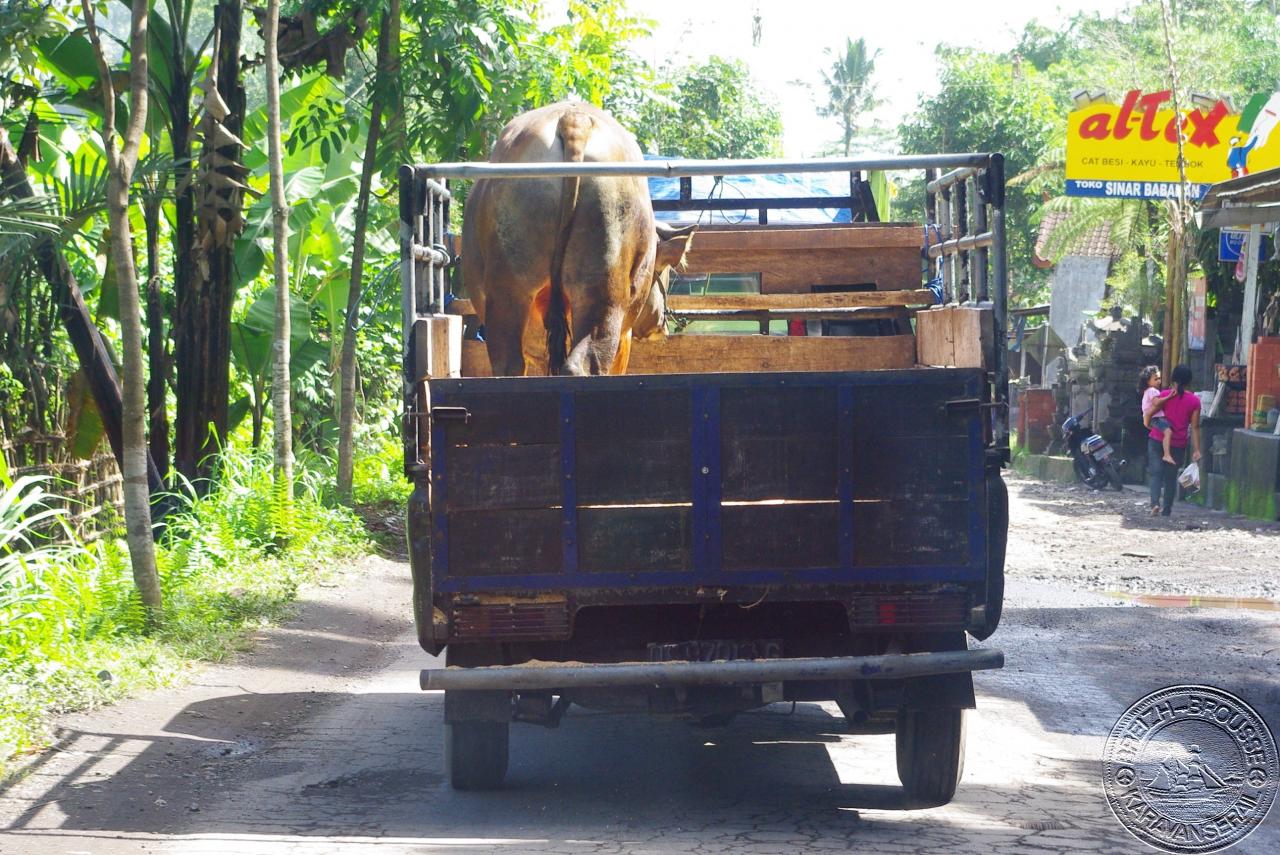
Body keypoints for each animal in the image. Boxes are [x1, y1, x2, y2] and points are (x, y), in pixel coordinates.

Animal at [465, 101, 696, 376]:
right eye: (664, 272)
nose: (662, 324)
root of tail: (575, 119)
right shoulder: (624, 336)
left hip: (509, 289)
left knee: (508, 364)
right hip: (603, 291)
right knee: (585, 362)